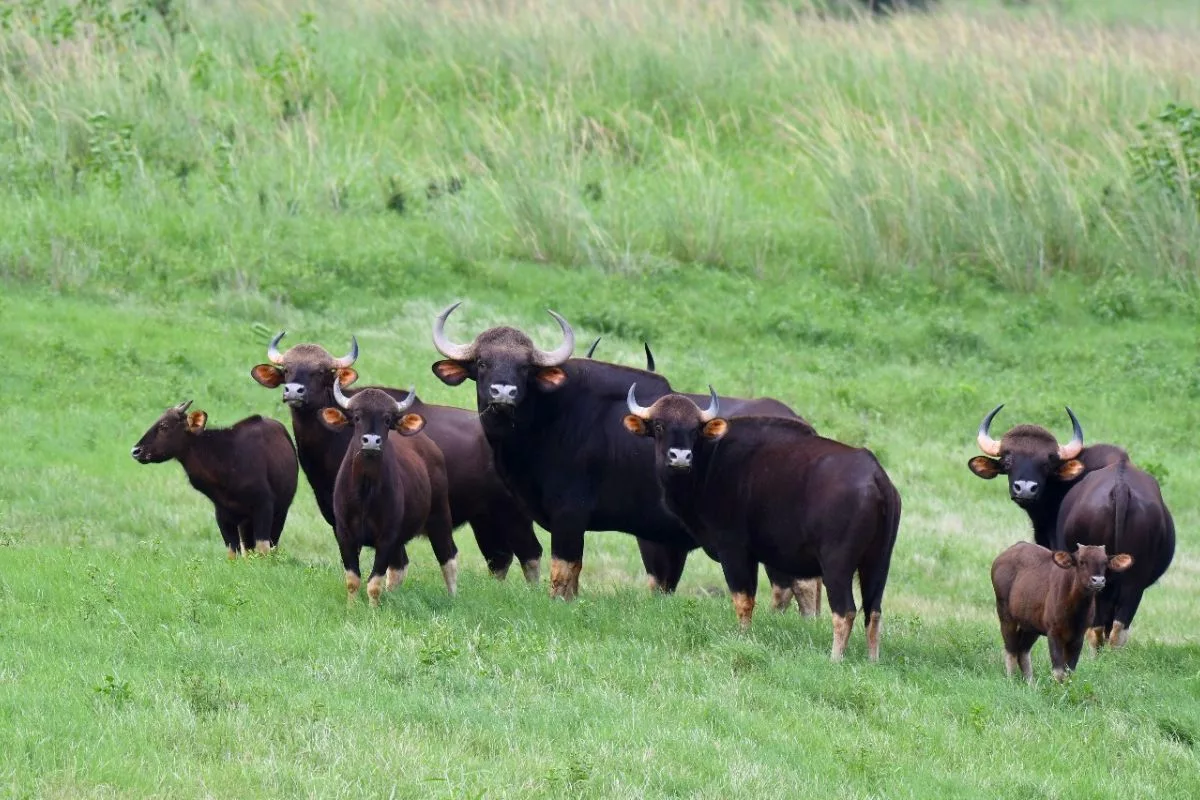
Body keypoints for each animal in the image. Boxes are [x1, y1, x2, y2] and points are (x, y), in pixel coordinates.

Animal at [131, 401, 297, 557]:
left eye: (164, 426)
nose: (135, 451)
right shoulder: (222, 515)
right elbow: (233, 554)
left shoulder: (264, 506)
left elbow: (263, 550)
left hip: (280, 512)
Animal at [623, 387, 901, 660]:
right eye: (659, 425)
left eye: (694, 429)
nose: (680, 457)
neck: (709, 464)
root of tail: (877, 478)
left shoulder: (733, 549)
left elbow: (743, 599)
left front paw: (743, 637)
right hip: (879, 562)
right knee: (873, 612)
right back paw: (872, 661)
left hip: (837, 564)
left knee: (845, 611)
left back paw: (835, 659)